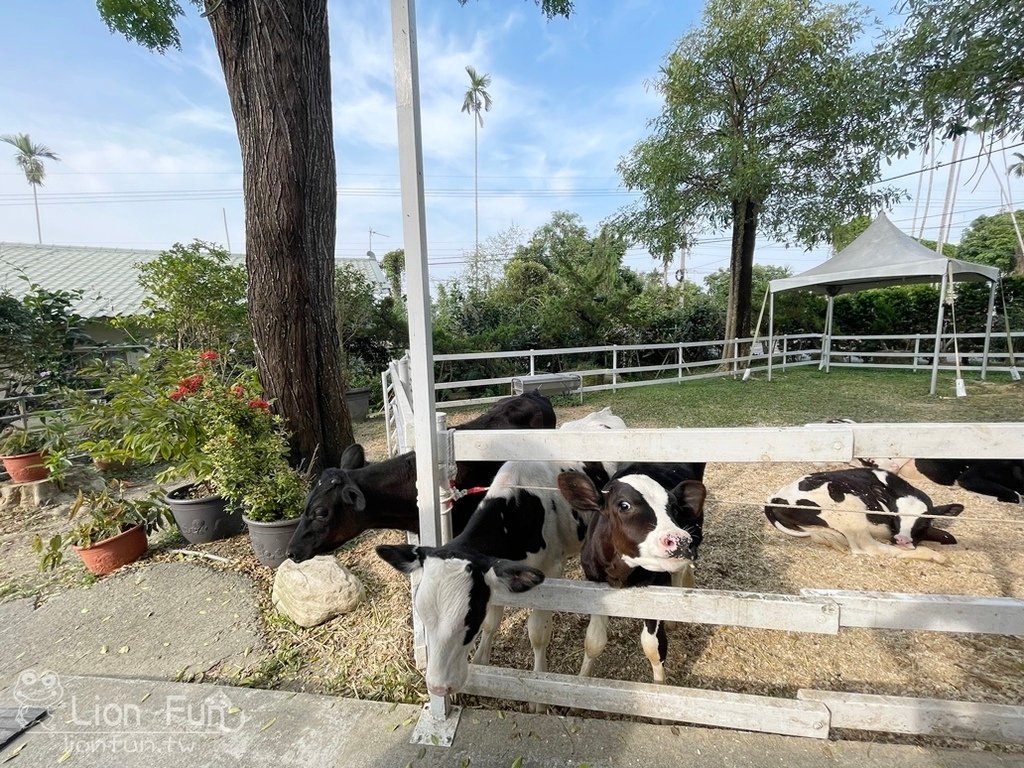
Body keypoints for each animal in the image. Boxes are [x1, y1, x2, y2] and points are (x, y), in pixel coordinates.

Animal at [374, 411, 622, 700]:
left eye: (469, 618)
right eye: (422, 614)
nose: (438, 687)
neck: (519, 508)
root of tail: (604, 413)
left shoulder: (551, 569)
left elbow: (537, 633)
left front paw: (538, 684)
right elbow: (493, 622)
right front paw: (481, 660)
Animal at [552, 462, 712, 684]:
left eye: (674, 507)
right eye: (624, 505)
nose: (680, 540)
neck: (621, 574)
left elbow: (653, 648)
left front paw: (659, 685)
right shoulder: (594, 587)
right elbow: (593, 641)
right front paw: (583, 680)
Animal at [765, 468, 962, 565]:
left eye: (923, 523)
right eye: (895, 518)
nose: (902, 540)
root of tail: (776, 497)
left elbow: (948, 536)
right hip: (850, 514)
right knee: (868, 547)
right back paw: (933, 556)